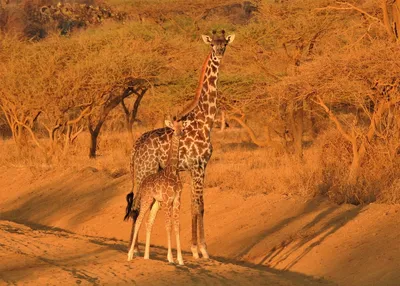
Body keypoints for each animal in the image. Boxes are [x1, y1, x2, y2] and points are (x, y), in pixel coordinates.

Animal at [127, 118, 185, 266]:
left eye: (182, 127)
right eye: (173, 127)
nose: (179, 133)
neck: (173, 172)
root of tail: (142, 183)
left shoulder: (177, 200)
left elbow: (177, 226)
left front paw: (181, 260)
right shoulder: (167, 200)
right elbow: (168, 225)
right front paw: (170, 258)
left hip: (155, 202)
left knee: (148, 222)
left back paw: (147, 256)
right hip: (147, 199)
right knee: (139, 220)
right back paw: (130, 255)